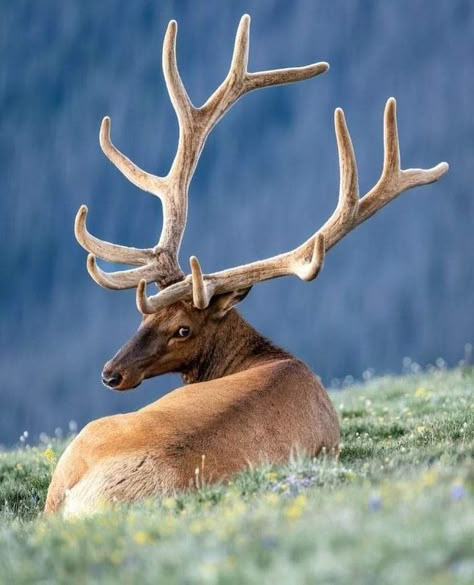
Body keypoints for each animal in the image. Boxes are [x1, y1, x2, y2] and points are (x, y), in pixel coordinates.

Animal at [44, 14, 448, 516]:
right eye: (144, 315)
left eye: (183, 329)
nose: (110, 372)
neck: (271, 358)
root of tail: (97, 500)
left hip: (82, 441)